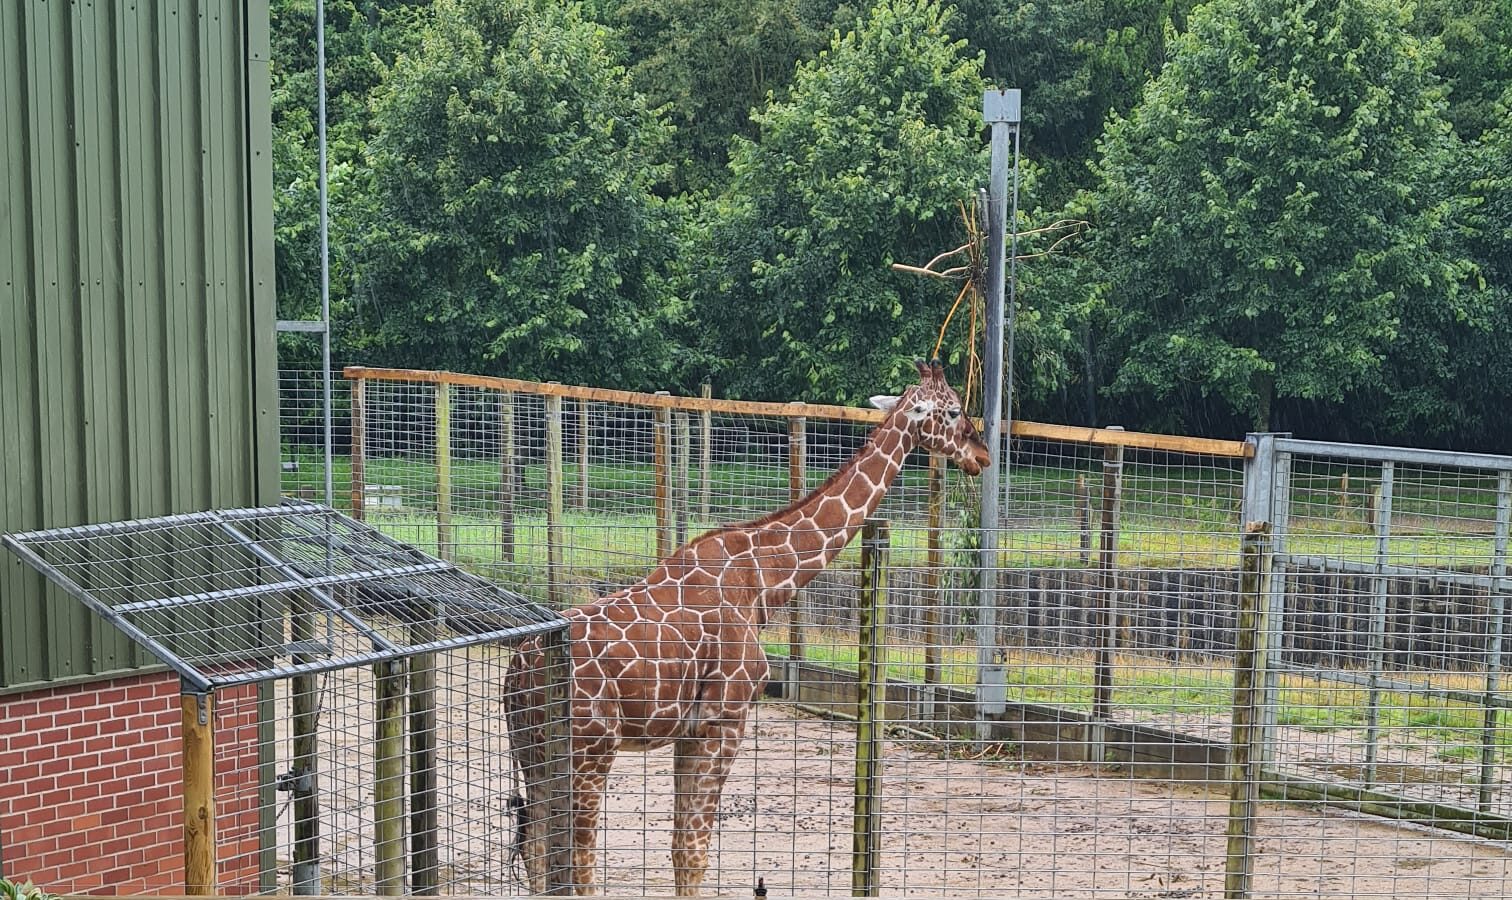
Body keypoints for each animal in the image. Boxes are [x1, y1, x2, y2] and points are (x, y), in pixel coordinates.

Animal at [498, 358, 991, 895]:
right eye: (953, 410)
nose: (981, 455)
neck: (765, 577)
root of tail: (520, 666)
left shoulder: (690, 731)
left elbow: (680, 848)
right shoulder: (725, 719)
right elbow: (694, 851)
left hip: (533, 746)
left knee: (538, 850)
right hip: (590, 746)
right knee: (575, 857)